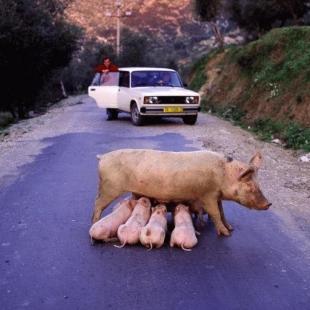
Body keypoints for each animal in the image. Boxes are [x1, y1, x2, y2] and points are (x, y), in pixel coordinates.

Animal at [92, 149, 272, 236]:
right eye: (250, 186)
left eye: (258, 184)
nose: (269, 203)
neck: (223, 175)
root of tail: (102, 157)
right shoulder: (207, 195)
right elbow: (215, 213)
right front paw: (226, 234)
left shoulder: (217, 196)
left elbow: (222, 212)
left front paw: (231, 228)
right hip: (109, 187)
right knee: (97, 203)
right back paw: (95, 222)